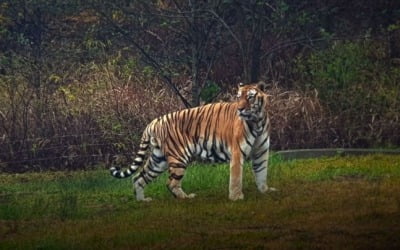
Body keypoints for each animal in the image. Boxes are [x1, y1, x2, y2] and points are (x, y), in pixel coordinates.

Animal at [111, 81, 276, 202]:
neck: (257, 121)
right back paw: (186, 197)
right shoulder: (237, 152)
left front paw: (265, 190)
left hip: (158, 160)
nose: (240, 109)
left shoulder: (261, 151)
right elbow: (236, 177)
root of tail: (153, 122)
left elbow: (262, 172)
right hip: (179, 157)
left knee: (138, 177)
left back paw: (143, 200)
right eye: (238, 97)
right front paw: (236, 197)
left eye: (250, 97)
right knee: (170, 183)